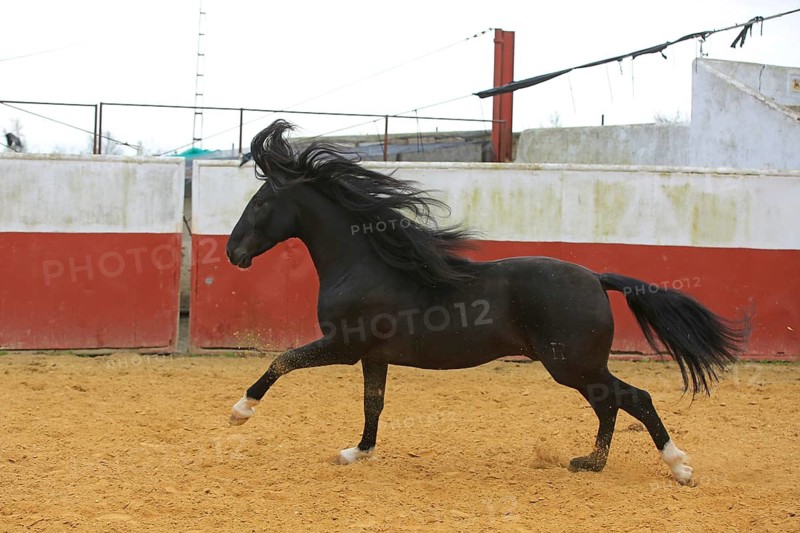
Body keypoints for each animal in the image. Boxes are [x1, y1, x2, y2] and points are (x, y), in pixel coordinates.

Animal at [225, 119, 745, 485]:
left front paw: (240, 412)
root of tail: (596, 278)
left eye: (260, 204)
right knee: (610, 405)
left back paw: (679, 468)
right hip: (577, 367)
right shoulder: (373, 356)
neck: (363, 264)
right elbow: (374, 403)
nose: (232, 252)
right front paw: (358, 452)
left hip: (572, 364)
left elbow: (282, 361)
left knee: (632, 399)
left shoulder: (343, 346)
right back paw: (589, 463)